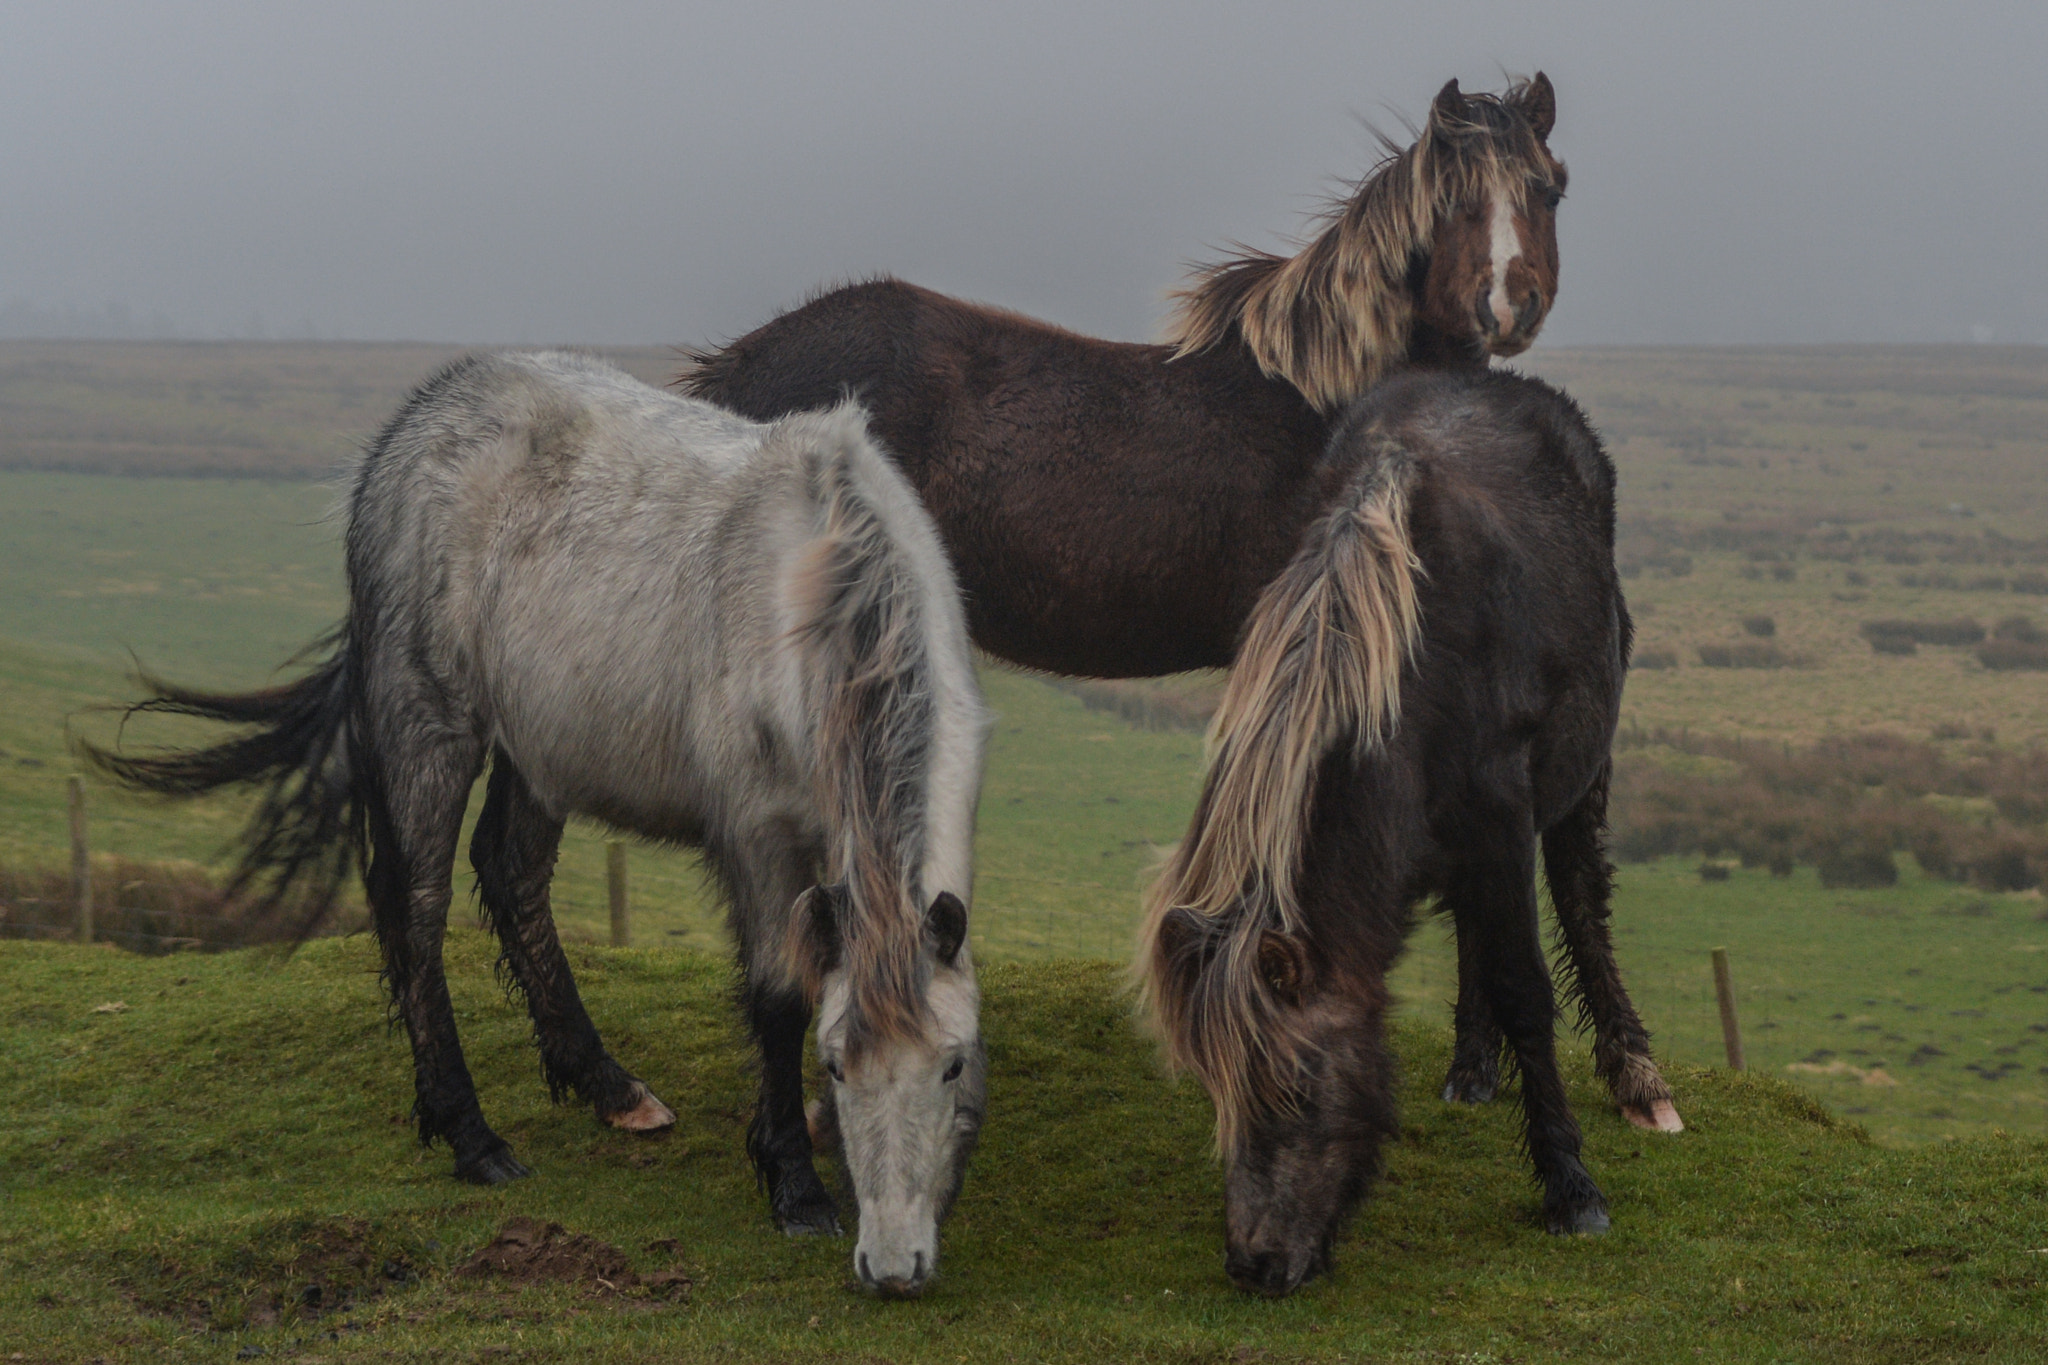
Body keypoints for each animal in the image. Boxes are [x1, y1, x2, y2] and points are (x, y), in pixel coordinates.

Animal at [82, 352, 990, 1298]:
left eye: (954, 1063)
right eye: (837, 1061)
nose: (894, 1265)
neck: (825, 607)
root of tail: (419, 418)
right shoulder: (758, 840)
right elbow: (775, 996)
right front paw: (795, 1186)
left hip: (541, 750)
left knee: (509, 871)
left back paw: (610, 1088)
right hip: (430, 727)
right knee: (417, 909)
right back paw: (471, 1134)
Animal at [1139, 368, 1662, 1296]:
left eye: (1295, 1086)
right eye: (1217, 1091)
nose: (1255, 1264)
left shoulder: (1504, 817)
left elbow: (1526, 986)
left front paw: (1571, 1186)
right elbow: (1484, 946)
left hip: (1579, 773)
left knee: (1581, 895)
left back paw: (1632, 1068)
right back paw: (1471, 1067)